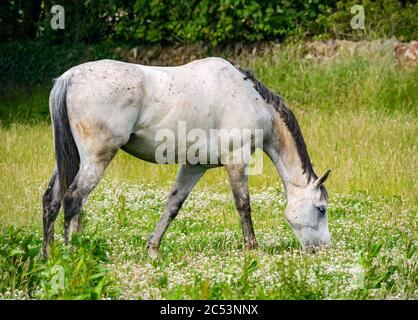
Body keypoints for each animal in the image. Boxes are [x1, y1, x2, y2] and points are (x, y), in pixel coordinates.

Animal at [40, 57, 332, 258]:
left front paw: (153, 250)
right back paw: (74, 255)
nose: (324, 249)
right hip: (96, 159)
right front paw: (252, 248)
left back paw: (48, 256)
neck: (251, 99)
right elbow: (243, 205)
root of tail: (70, 77)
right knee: (74, 199)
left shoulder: (194, 166)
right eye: (321, 209)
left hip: (70, 159)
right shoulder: (236, 159)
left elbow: (173, 205)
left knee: (51, 200)